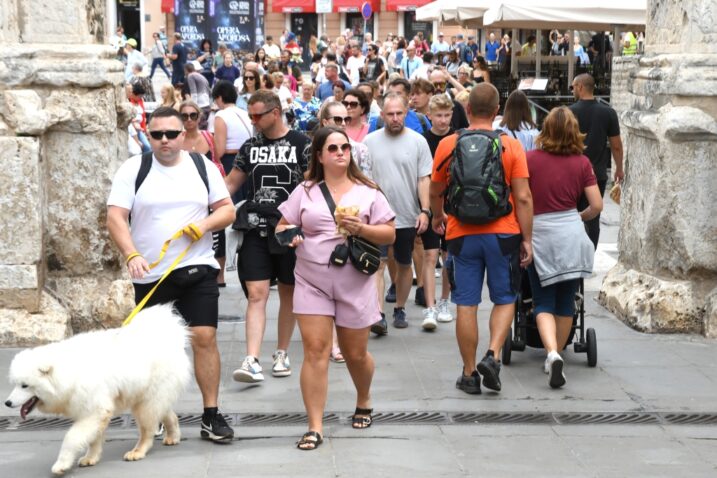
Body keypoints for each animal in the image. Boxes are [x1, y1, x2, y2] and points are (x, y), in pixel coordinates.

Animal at [4, 304, 190, 476]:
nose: (7, 402)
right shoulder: (92, 410)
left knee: (147, 429)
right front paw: (90, 458)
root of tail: (170, 335)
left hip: (146, 401)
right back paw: (173, 437)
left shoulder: (94, 409)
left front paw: (61, 465)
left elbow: (71, 437)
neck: (70, 373)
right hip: (148, 397)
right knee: (168, 414)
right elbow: (94, 438)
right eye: (15, 383)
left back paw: (137, 452)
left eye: (25, 385)